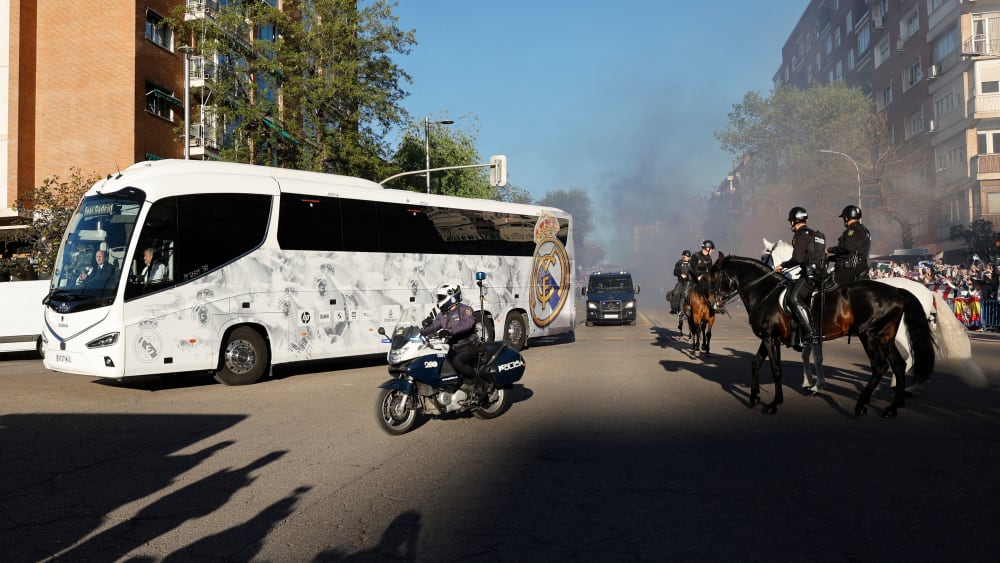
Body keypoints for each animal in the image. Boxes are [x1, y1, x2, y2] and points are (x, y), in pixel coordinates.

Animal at [760, 238, 980, 392]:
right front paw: (809, 381)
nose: (767, 273)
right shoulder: (811, 330)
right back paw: (915, 384)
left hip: (901, 331)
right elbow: (809, 355)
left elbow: (814, 356)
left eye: (764, 256)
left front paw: (813, 383)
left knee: (911, 355)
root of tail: (926, 290)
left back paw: (897, 384)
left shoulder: (811, 327)